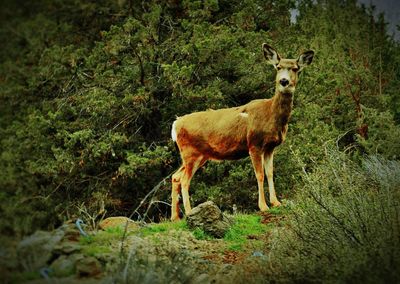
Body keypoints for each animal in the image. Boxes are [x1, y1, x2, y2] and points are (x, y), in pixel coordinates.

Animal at [169, 43, 312, 221]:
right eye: (278, 67)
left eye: (295, 68)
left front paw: (276, 202)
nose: (284, 81)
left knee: (175, 176)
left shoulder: (270, 147)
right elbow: (260, 174)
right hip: (190, 152)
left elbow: (270, 173)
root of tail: (175, 124)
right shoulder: (254, 144)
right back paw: (189, 213)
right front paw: (263, 206)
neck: (271, 114)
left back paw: (175, 217)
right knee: (184, 179)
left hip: (199, 155)